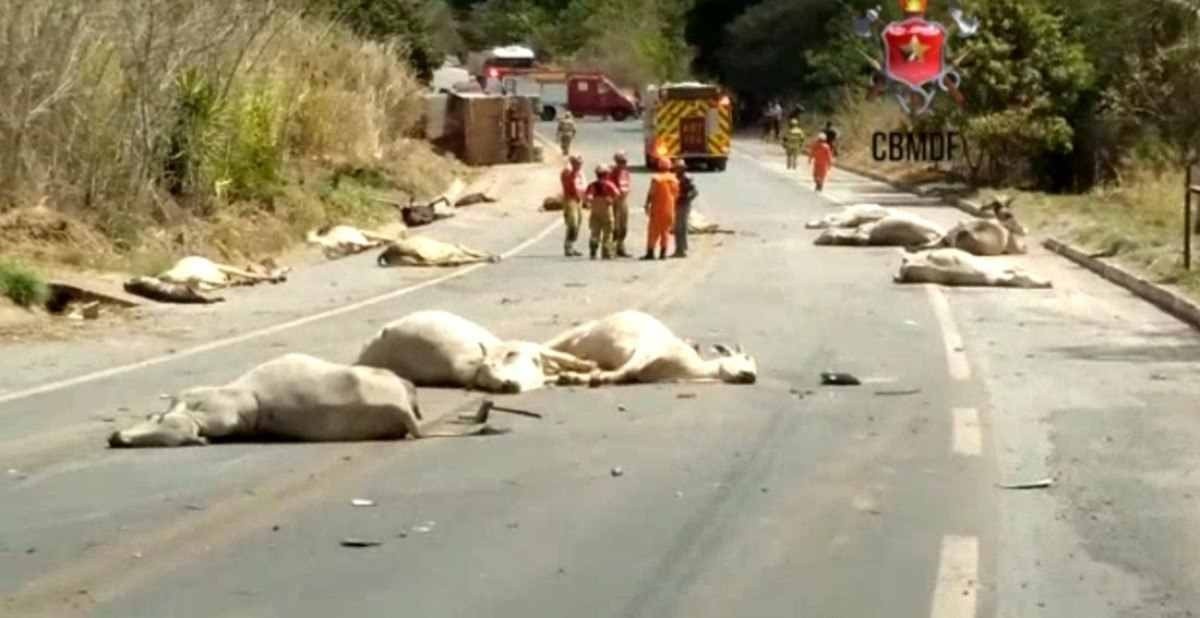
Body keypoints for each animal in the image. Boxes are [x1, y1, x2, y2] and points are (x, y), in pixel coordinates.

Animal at [355, 312, 600, 393]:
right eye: (486, 382)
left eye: (493, 367)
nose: (508, 385)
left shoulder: (528, 347)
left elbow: (564, 358)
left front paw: (586, 366)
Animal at [547, 309, 758, 386]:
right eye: (746, 357)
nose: (750, 376)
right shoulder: (646, 352)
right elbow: (622, 371)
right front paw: (573, 377)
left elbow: (617, 374)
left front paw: (573, 376)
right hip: (575, 333)